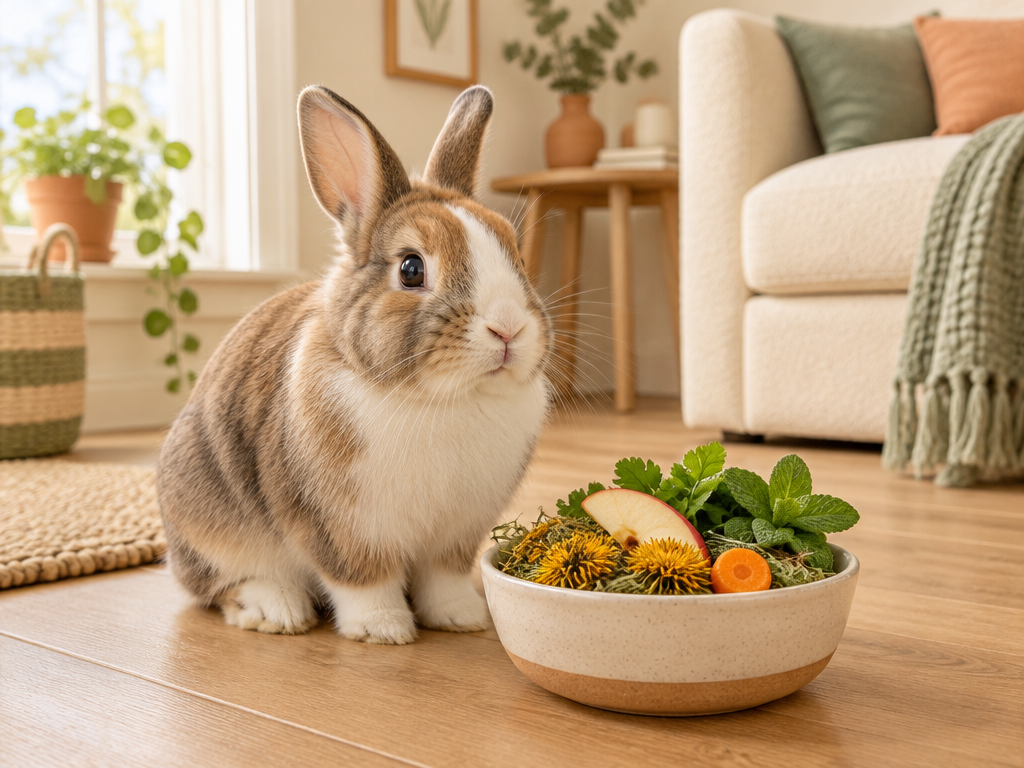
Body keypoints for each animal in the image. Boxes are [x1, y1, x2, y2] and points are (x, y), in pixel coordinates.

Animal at [156, 84, 552, 645]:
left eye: (516, 253)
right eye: (411, 268)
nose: (509, 329)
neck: (441, 397)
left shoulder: (455, 537)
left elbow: (444, 579)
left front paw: (461, 618)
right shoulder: (338, 527)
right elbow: (363, 579)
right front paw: (383, 630)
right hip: (208, 525)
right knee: (220, 585)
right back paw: (277, 611)